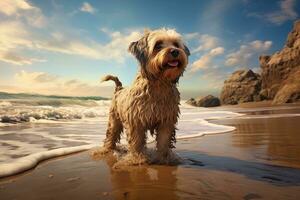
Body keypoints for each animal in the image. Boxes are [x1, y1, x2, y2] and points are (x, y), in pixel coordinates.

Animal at [96, 28, 190, 166]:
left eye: (176, 44)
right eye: (158, 45)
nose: (175, 51)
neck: (159, 83)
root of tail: (119, 89)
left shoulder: (166, 119)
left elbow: (164, 140)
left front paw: (164, 158)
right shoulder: (136, 119)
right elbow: (137, 140)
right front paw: (137, 159)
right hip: (114, 118)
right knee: (111, 133)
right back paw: (106, 149)